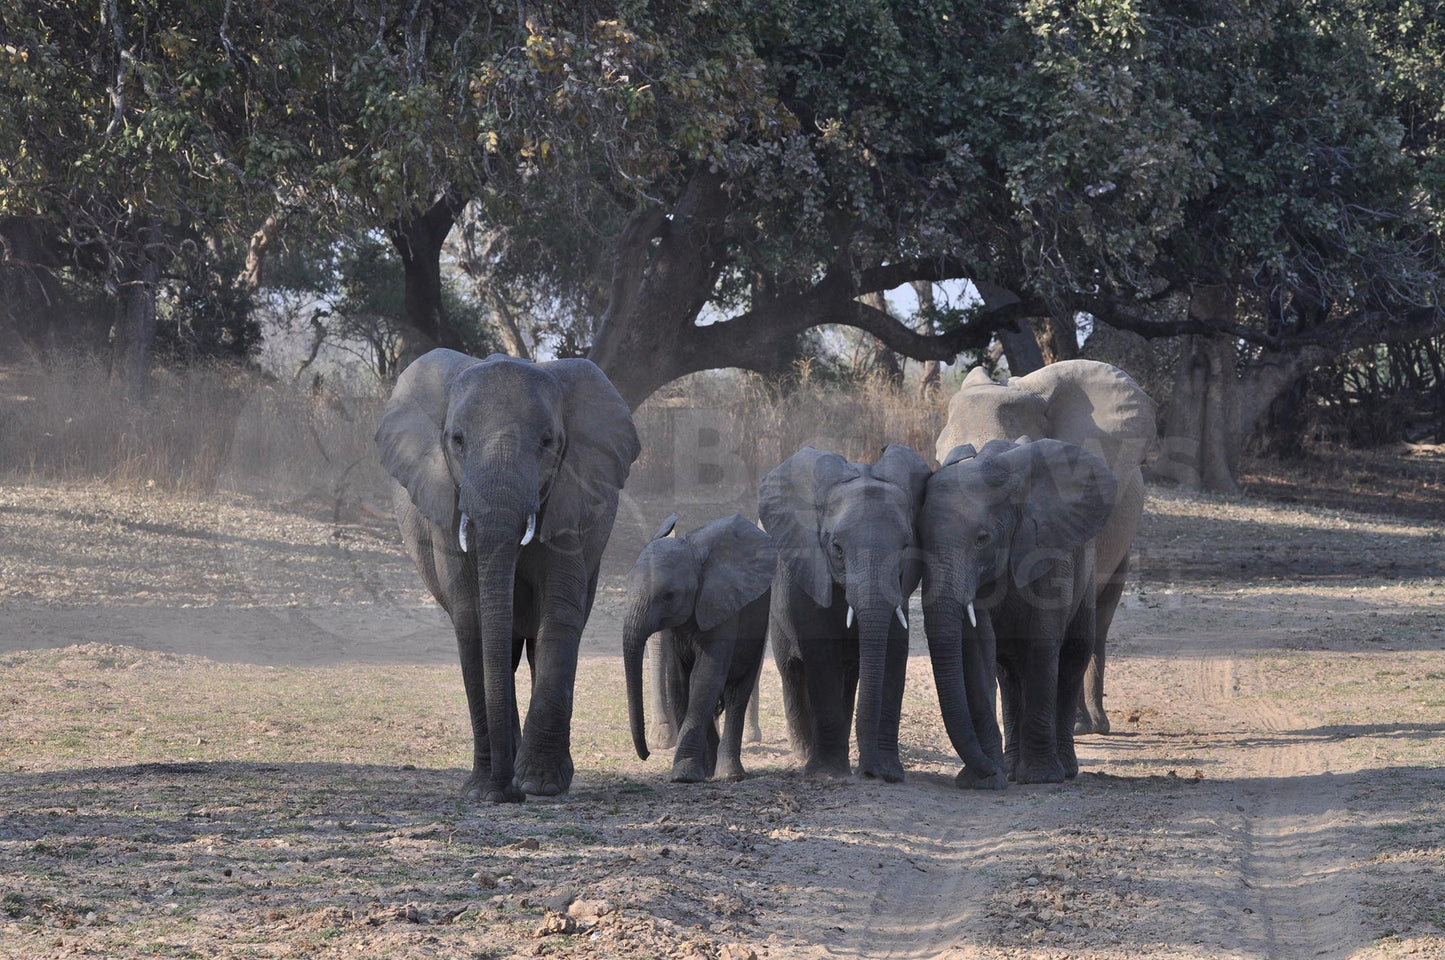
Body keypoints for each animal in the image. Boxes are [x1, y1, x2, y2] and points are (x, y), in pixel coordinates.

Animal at [375, 348, 641, 798]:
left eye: (548, 442)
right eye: (457, 440)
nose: (507, 793)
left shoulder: (570, 500)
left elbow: (558, 616)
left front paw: (538, 784)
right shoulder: (447, 507)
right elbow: (473, 620)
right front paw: (484, 791)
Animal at [621, 514, 780, 786]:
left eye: (669, 596)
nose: (646, 754)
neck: (693, 552)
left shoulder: (722, 607)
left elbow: (705, 677)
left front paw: (683, 777)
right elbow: (679, 681)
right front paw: (695, 772)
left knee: (738, 692)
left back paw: (730, 775)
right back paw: (711, 769)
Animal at [762, 445, 930, 786]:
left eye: (905, 546)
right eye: (837, 548)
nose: (870, 771)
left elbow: (894, 652)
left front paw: (891, 772)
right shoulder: (810, 572)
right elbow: (821, 654)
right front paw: (828, 773)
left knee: (849, 673)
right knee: (791, 671)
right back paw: (803, 753)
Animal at [919, 439, 1121, 786]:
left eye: (982, 539)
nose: (988, 770)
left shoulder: (1050, 554)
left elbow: (1042, 646)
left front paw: (1041, 777)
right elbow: (979, 649)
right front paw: (983, 781)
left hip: (1087, 568)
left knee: (1072, 658)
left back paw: (1063, 770)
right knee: (1009, 675)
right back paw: (1013, 770)